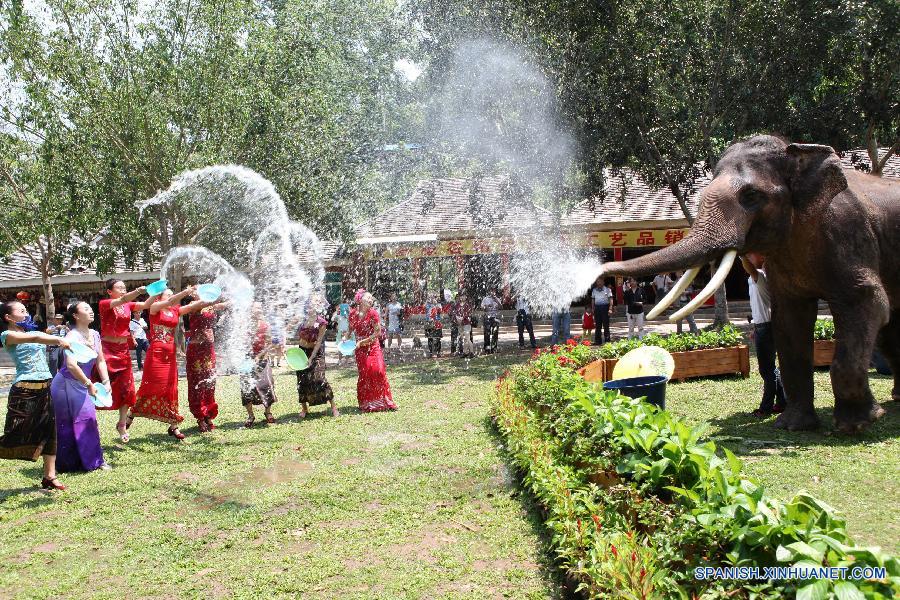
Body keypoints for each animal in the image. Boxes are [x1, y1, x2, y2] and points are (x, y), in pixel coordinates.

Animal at [596, 135, 900, 434]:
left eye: (751, 196)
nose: (600, 271)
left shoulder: (849, 236)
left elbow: (867, 301)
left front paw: (857, 425)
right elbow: (789, 321)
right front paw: (792, 426)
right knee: (889, 330)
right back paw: (897, 398)